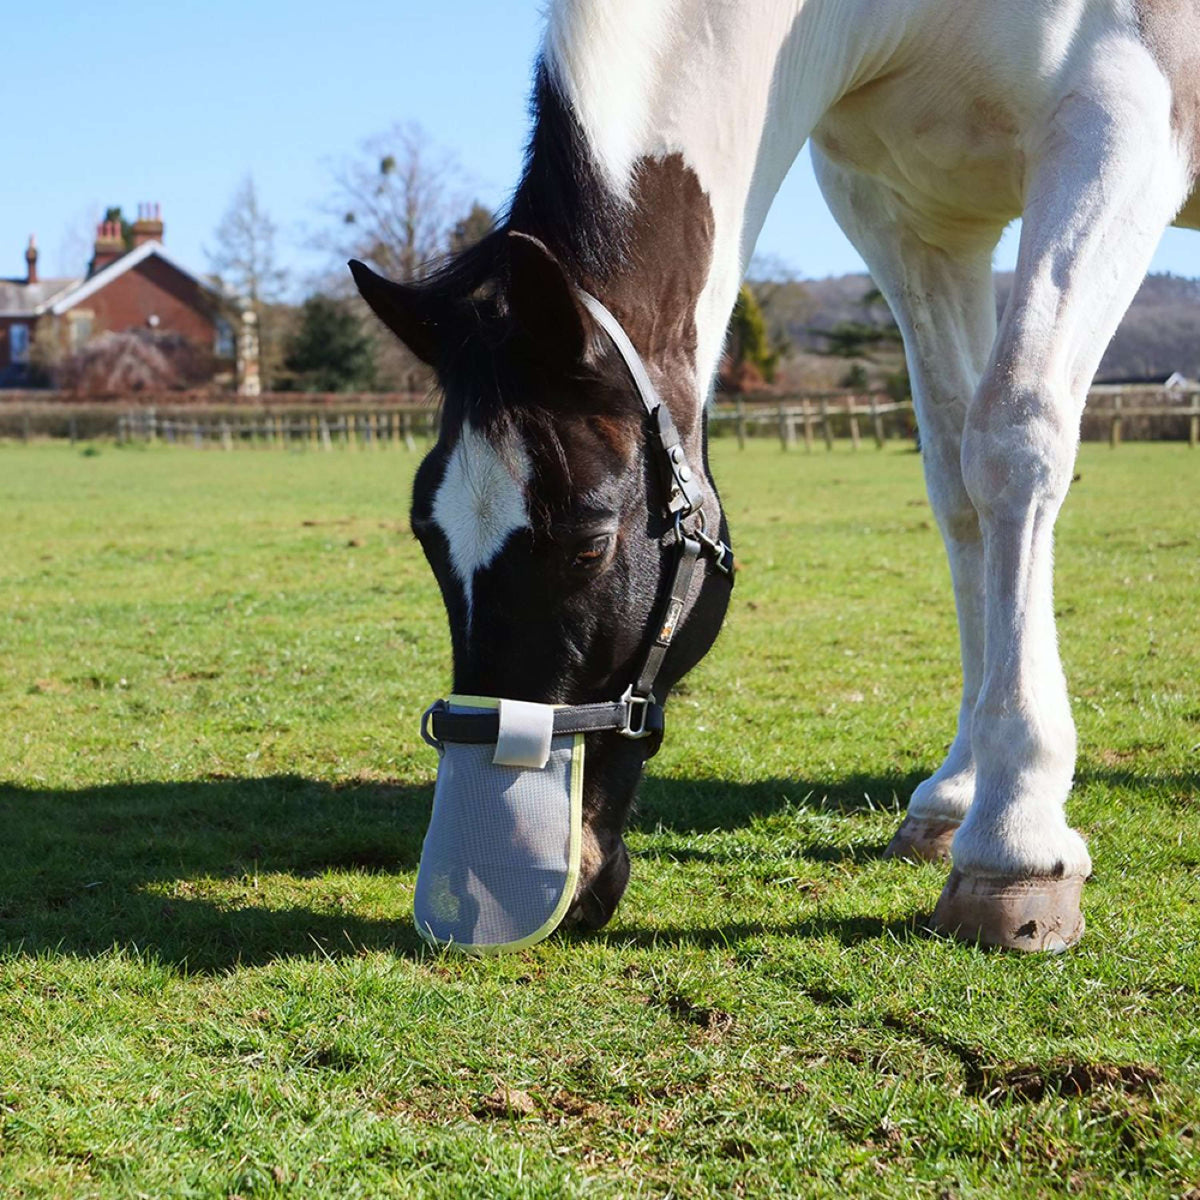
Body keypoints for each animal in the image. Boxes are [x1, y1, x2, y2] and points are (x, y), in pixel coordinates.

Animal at [350, 0, 1200, 955]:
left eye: (589, 541)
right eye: (428, 535)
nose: (477, 897)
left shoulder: (1119, 135)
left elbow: (1014, 440)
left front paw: (1016, 838)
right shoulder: (915, 217)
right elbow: (958, 484)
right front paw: (957, 796)